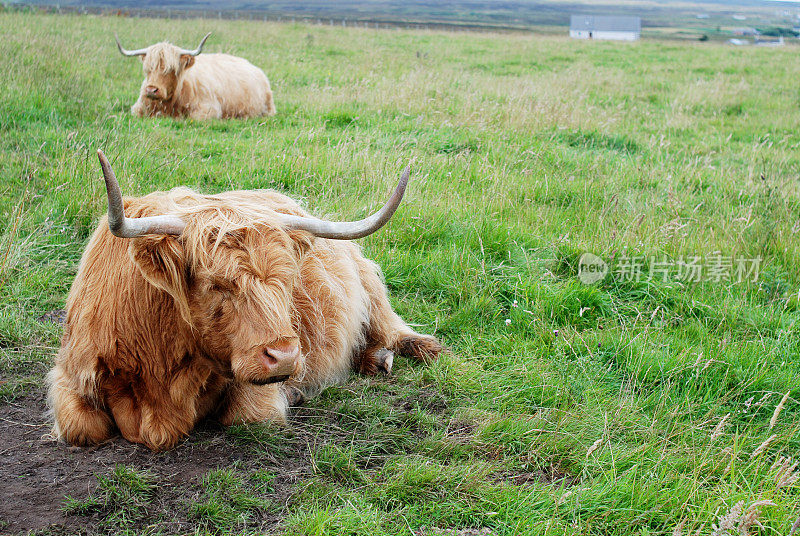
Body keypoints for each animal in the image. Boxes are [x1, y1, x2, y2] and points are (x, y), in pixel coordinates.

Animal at [48, 151, 444, 452]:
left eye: (287, 281)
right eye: (215, 285)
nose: (285, 356)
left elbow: (248, 417)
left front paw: (293, 394)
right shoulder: (72, 372)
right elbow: (82, 428)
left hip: (368, 284)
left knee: (388, 323)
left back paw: (413, 349)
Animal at [114, 33, 278, 119]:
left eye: (171, 69)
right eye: (148, 69)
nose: (151, 90)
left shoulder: (210, 109)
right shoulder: (138, 107)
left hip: (269, 109)